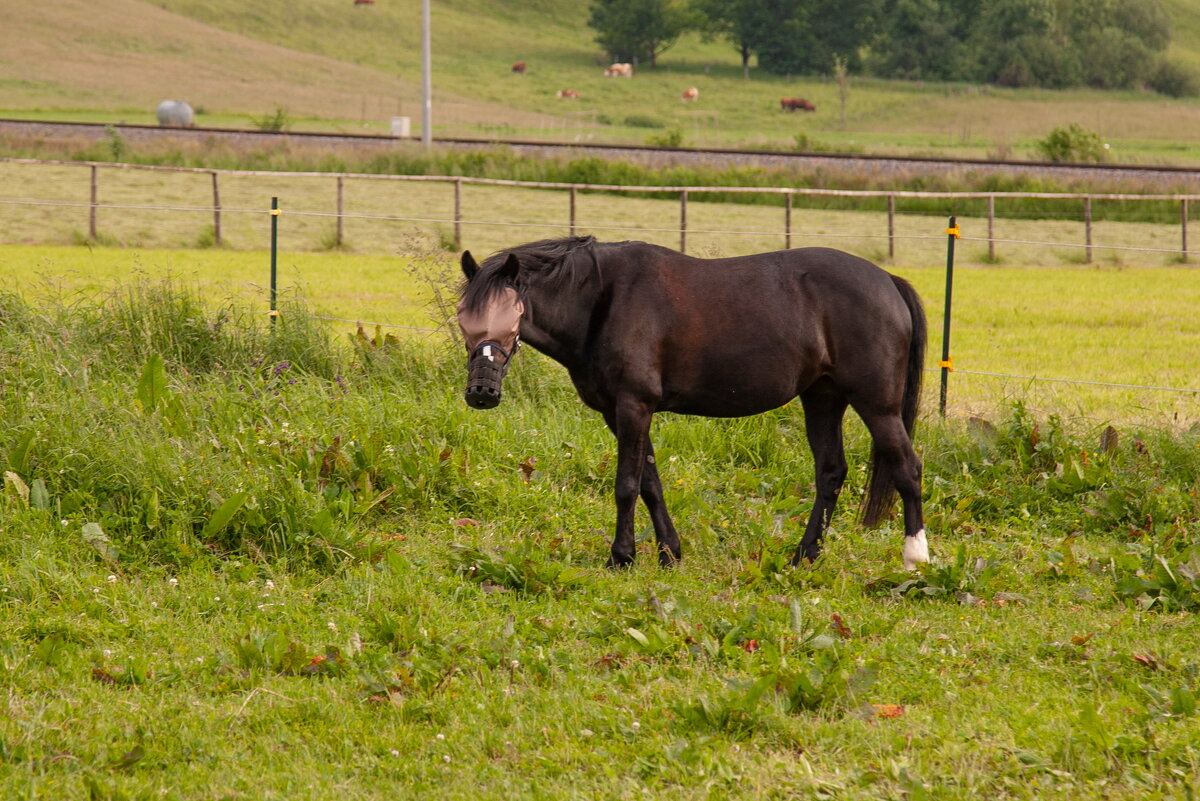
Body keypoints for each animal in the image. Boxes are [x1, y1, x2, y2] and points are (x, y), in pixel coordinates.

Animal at [453, 235, 931, 573]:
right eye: (464, 320)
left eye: (513, 316)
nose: (481, 393)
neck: (603, 301)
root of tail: (888, 281)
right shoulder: (619, 412)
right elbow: (650, 482)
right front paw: (670, 553)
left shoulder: (633, 406)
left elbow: (626, 484)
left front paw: (621, 557)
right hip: (823, 398)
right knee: (831, 472)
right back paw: (805, 557)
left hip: (877, 405)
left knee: (907, 468)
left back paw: (916, 559)